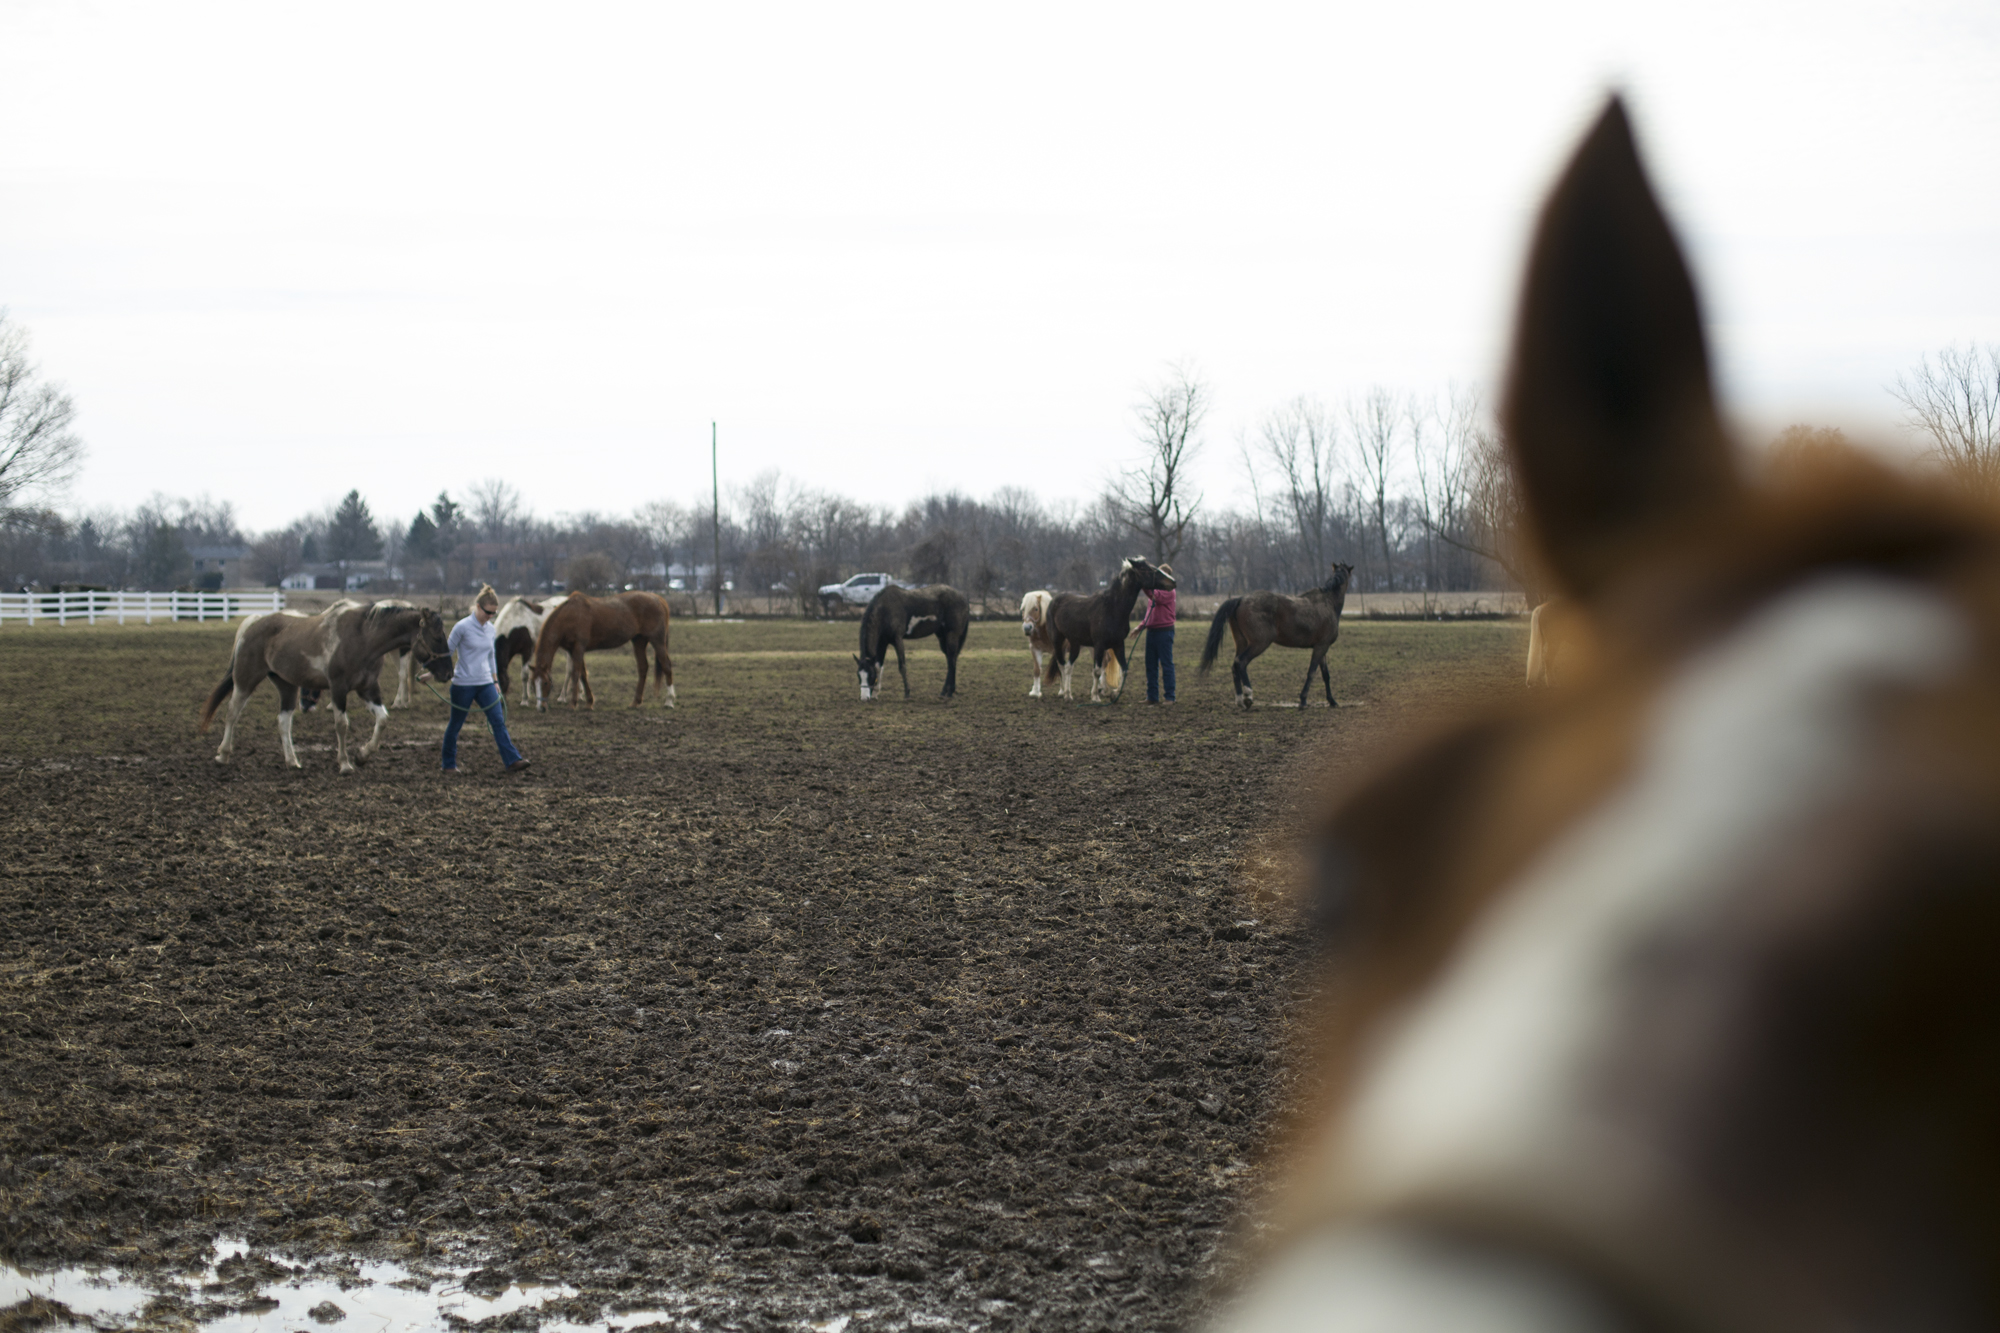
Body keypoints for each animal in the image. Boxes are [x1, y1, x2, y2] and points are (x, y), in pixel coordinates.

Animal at [194, 600, 446, 772]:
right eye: (437, 637)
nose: (446, 672)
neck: (363, 638)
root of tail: (253, 621)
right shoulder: (338, 688)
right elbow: (342, 725)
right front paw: (345, 763)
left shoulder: (368, 689)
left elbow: (383, 720)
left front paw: (363, 754)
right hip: (245, 680)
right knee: (232, 713)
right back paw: (223, 754)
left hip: (287, 686)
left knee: (283, 722)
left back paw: (292, 761)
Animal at [528, 592, 676, 712]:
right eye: (533, 683)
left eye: (546, 683)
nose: (541, 708)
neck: (569, 616)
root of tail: (657, 598)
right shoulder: (573, 650)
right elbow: (583, 674)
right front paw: (589, 702)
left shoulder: (578, 648)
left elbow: (576, 674)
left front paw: (572, 703)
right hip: (639, 641)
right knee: (643, 667)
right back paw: (635, 702)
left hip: (657, 641)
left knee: (666, 666)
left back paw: (669, 701)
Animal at [1040, 556, 1176, 700]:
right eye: (1146, 568)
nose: (1173, 582)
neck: (1112, 608)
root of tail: (1054, 600)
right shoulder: (1099, 645)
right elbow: (1097, 671)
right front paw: (1095, 696)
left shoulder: (1118, 644)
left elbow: (1124, 669)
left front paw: (1115, 693)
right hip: (1057, 641)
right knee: (1061, 665)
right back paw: (1064, 693)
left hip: (1075, 643)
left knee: (1069, 666)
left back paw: (1068, 693)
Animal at [1192, 556, 1352, 704]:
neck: (1328, 602)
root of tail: (1240, 599)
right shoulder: (1321, 646)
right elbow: (1311, 672)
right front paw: (1303, 700)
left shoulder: (1321, 647)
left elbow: (1325, 674)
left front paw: (1331, 700)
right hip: (1259, 643)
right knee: (1241, 662)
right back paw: (1248, 696)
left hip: (1242, 642)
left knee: (1234, 666)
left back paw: (1239, 699)